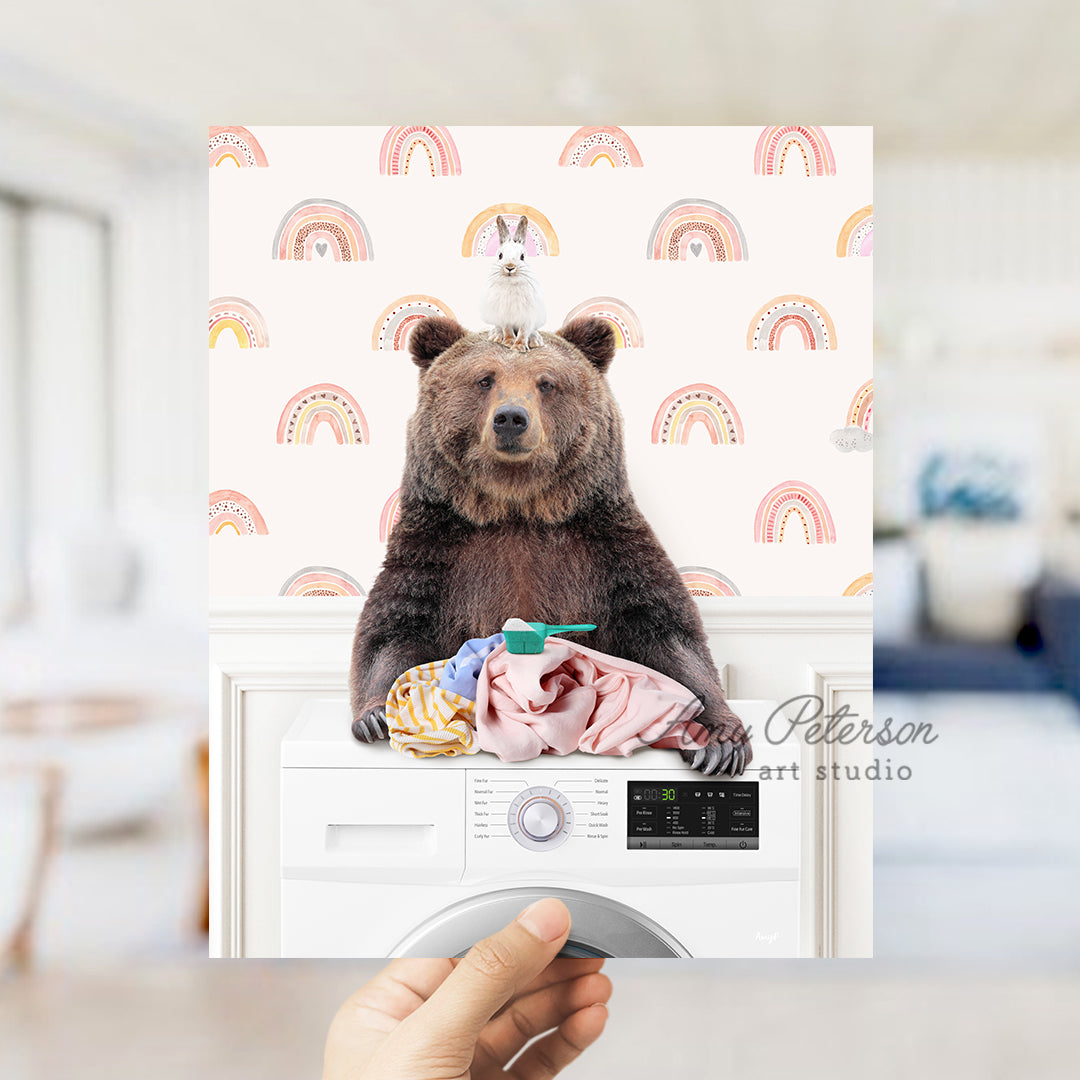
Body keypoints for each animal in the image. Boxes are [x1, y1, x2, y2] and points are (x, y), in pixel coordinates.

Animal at [347, 315, 751, 777]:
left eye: (547, 382)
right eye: (485, 379)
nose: (511, 418)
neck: (518, 507)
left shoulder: (607, 546)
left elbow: (667, 631)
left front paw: (719, 741)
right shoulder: (436, 547)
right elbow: (393, 630)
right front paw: (378, 715)